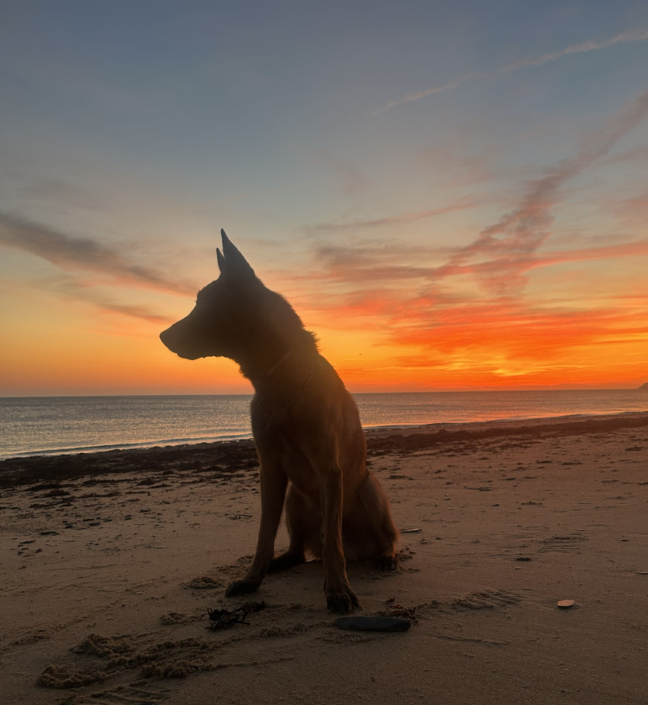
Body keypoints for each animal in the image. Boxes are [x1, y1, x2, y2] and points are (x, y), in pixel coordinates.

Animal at [159, 231, 398, 612]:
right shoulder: (270, 471)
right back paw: (278, 563)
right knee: (299, 551)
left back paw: (385, 556)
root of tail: (361, 551)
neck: (279, 380)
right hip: (294, 500)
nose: (163, 336)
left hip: (369, 488)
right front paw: (252, 577)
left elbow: (332, 542)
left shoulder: (329, 470)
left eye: (206, 303)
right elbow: (263, 534)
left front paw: (338, 589)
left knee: (375, 538)